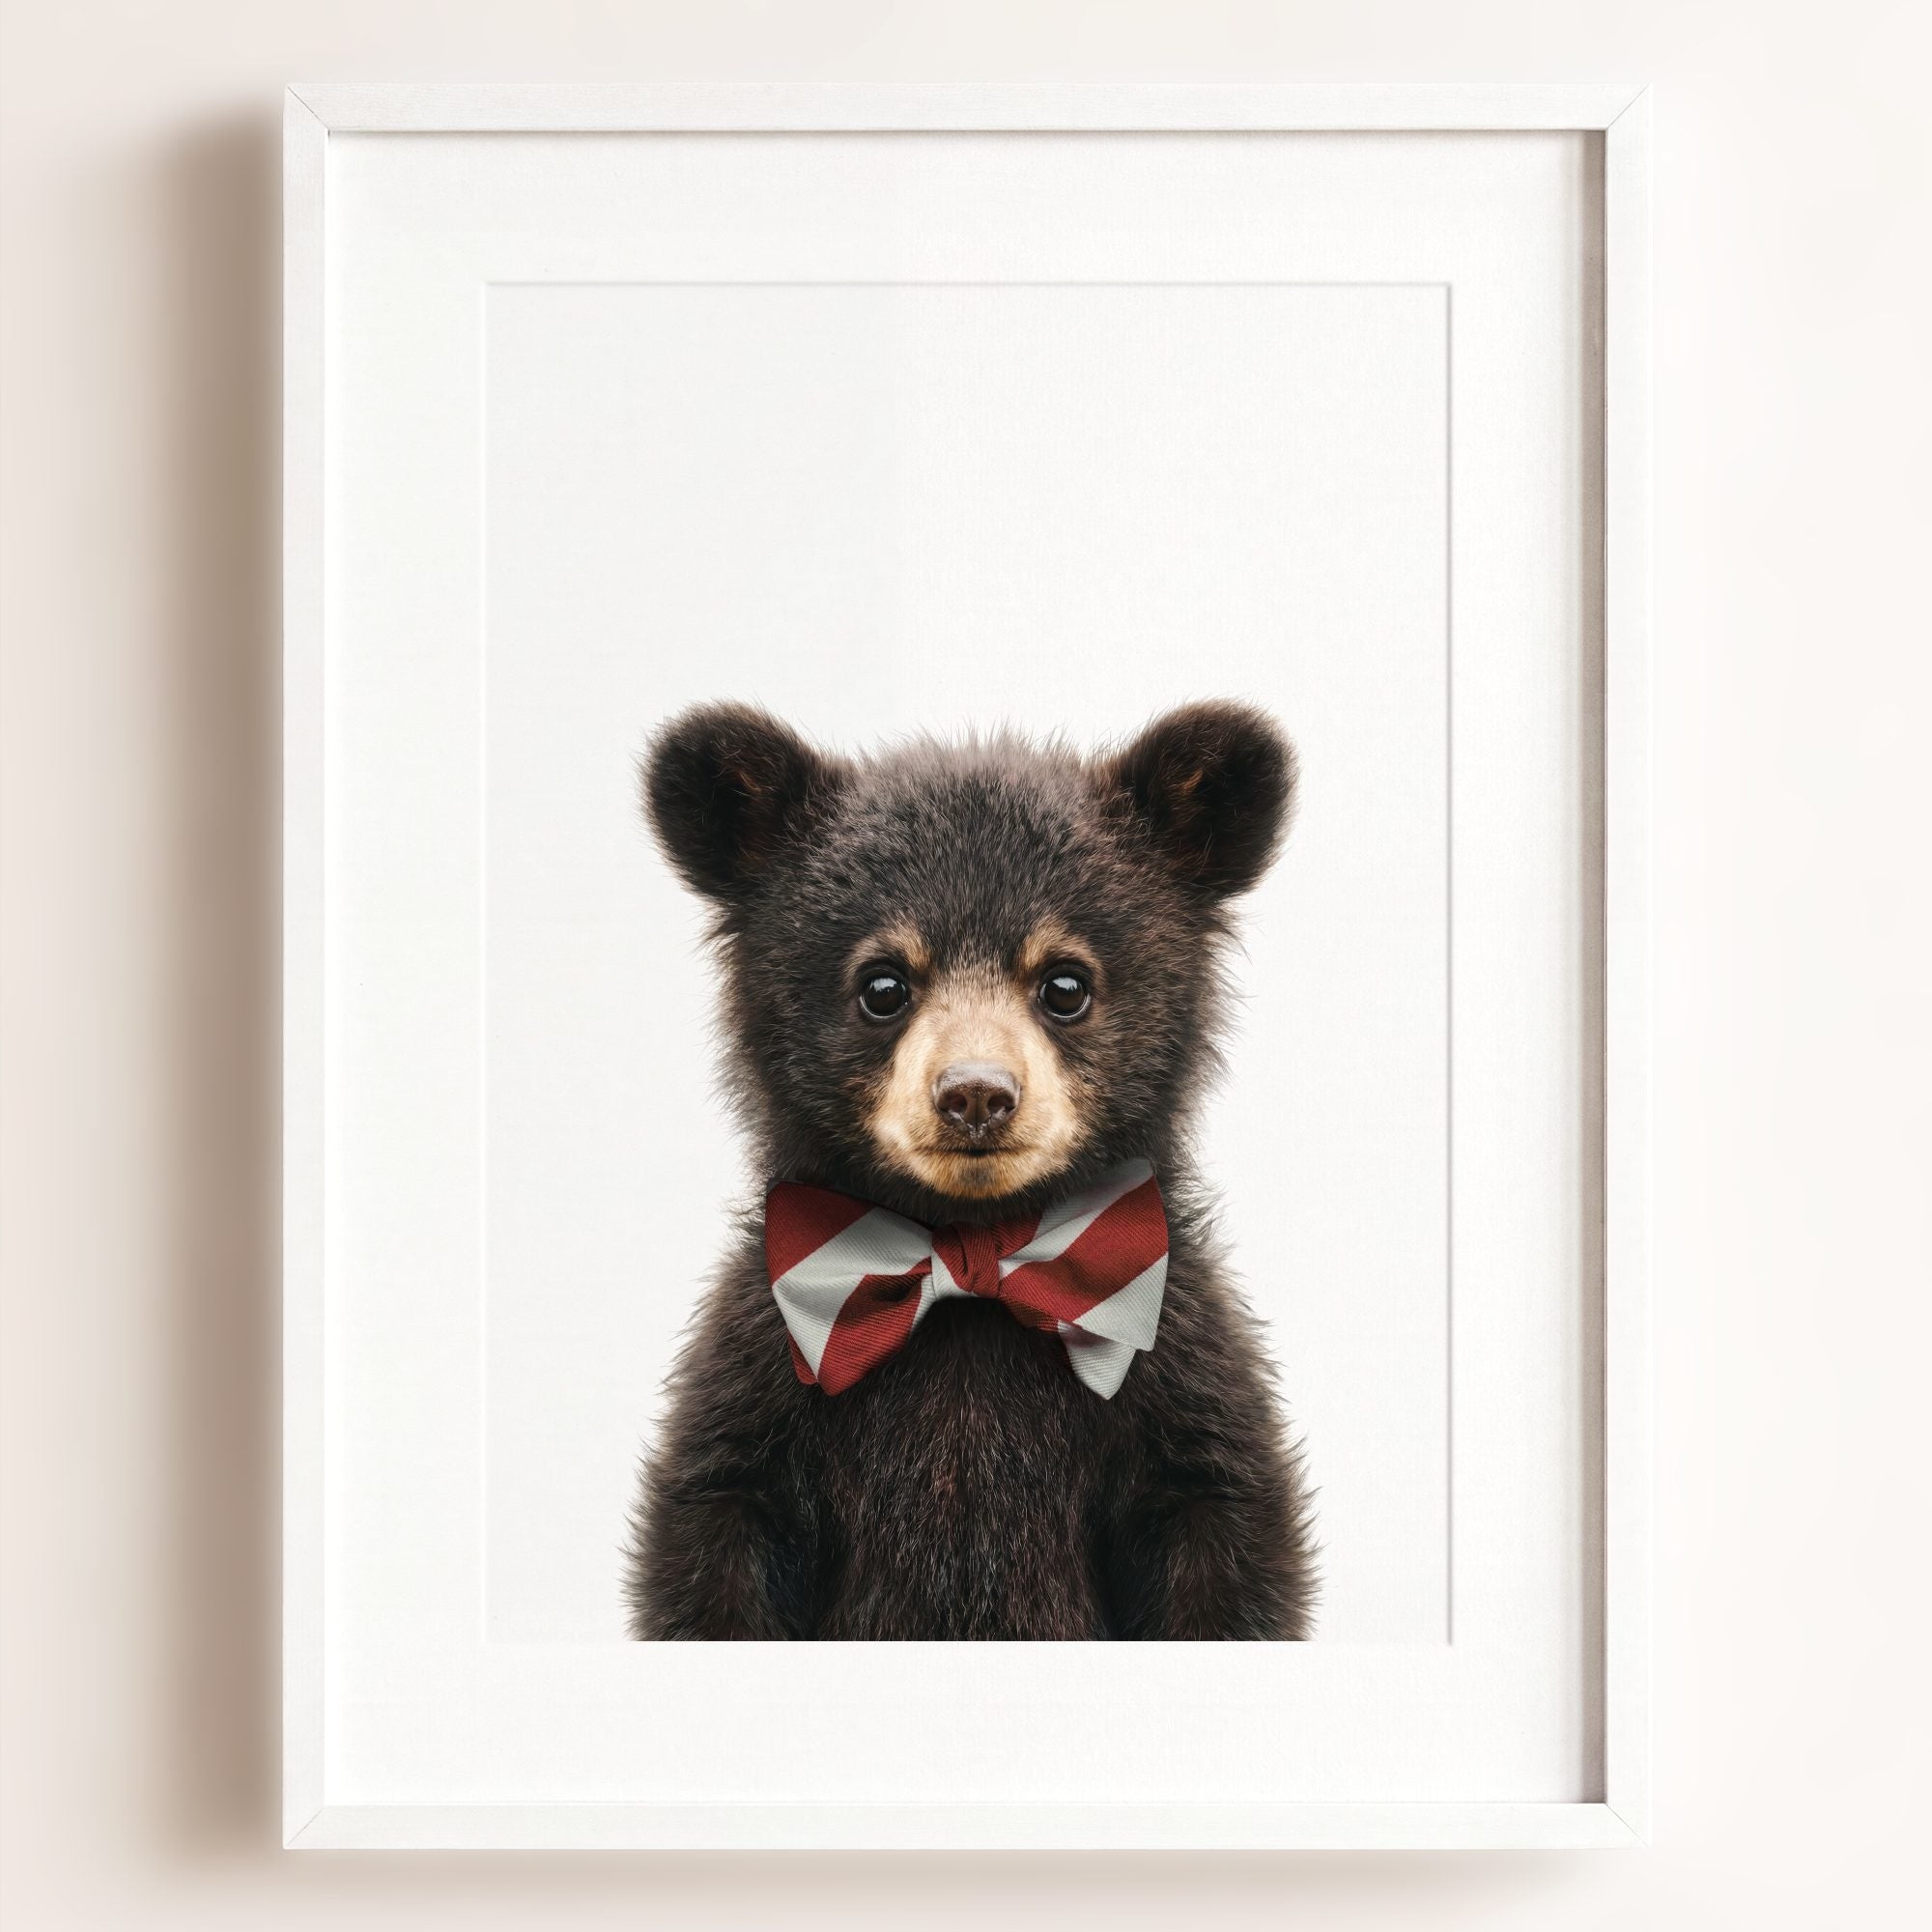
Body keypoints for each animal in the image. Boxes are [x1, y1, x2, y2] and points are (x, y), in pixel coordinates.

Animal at [623, 700, 1316, 1640]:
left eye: (1066, 983)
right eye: (883, 985)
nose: (977, 1095)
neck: (972, 1252)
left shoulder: (1181, 1383)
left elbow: (1223, 1545)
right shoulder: (759, 1387)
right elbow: (715, 1545)